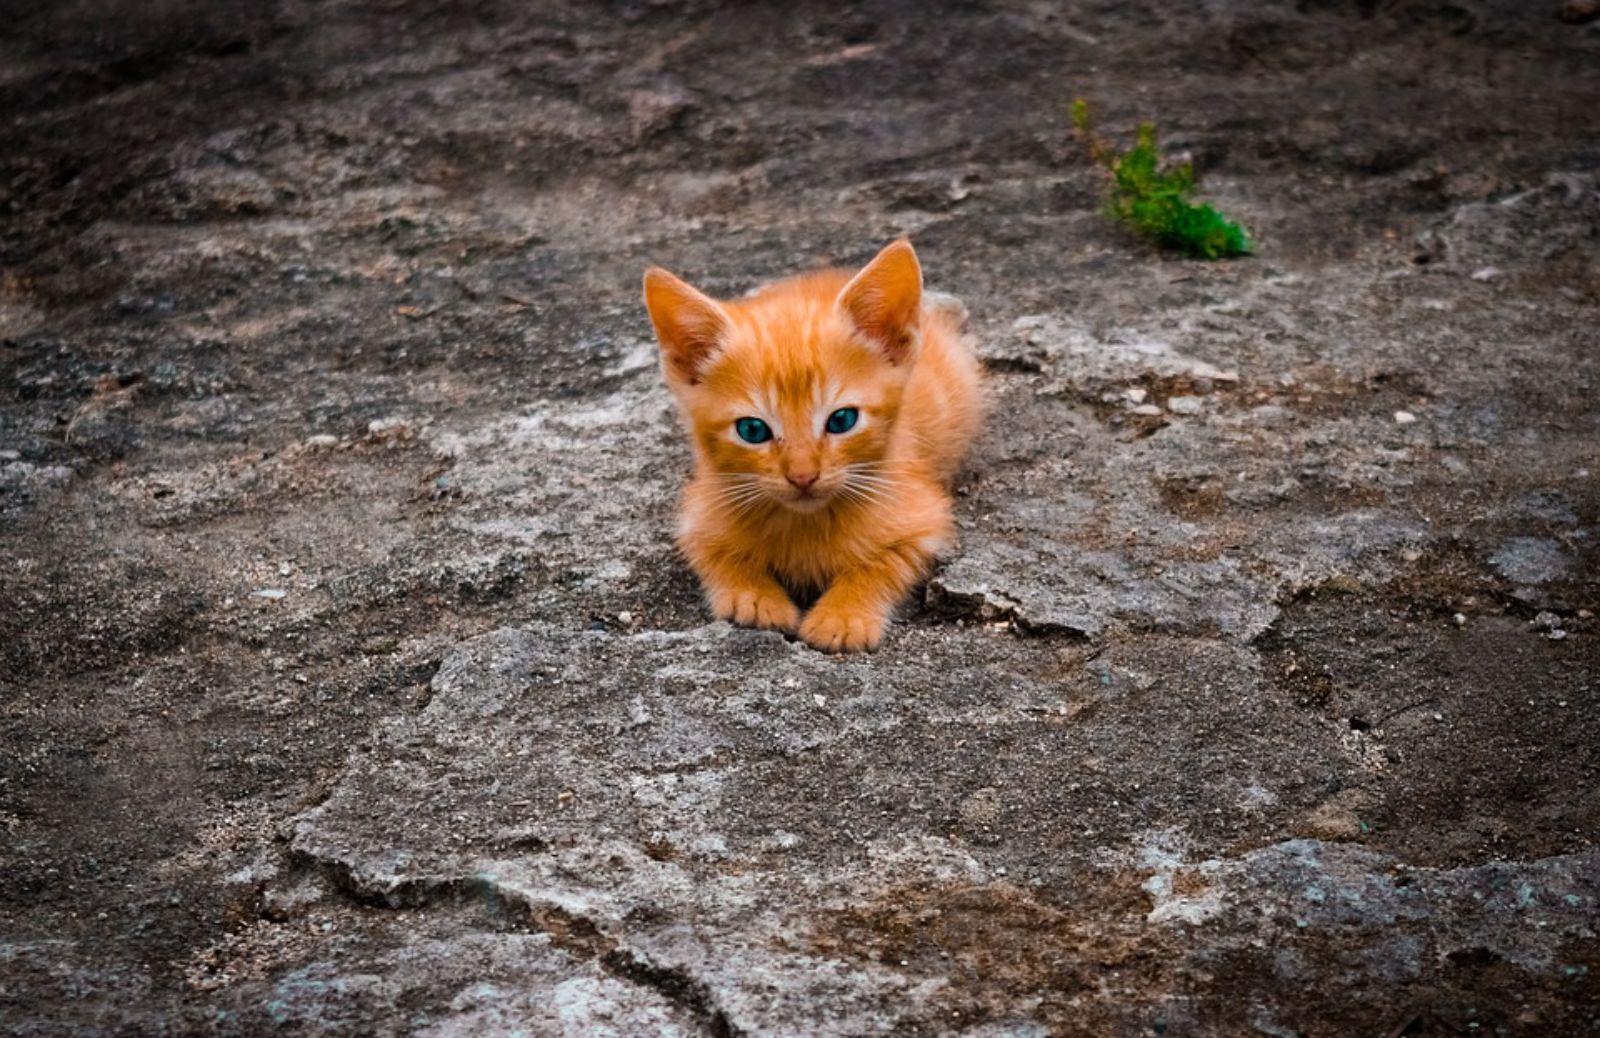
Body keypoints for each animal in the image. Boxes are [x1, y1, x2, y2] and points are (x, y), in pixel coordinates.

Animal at [643, 238, 979, 652]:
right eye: (752, 429)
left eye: (841, 420)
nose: (803, 476)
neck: (805, 522)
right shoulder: (699, 512)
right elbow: (716, 553)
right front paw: (755, 598)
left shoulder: (923, 516)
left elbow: (885, 562)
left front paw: (844, 615)